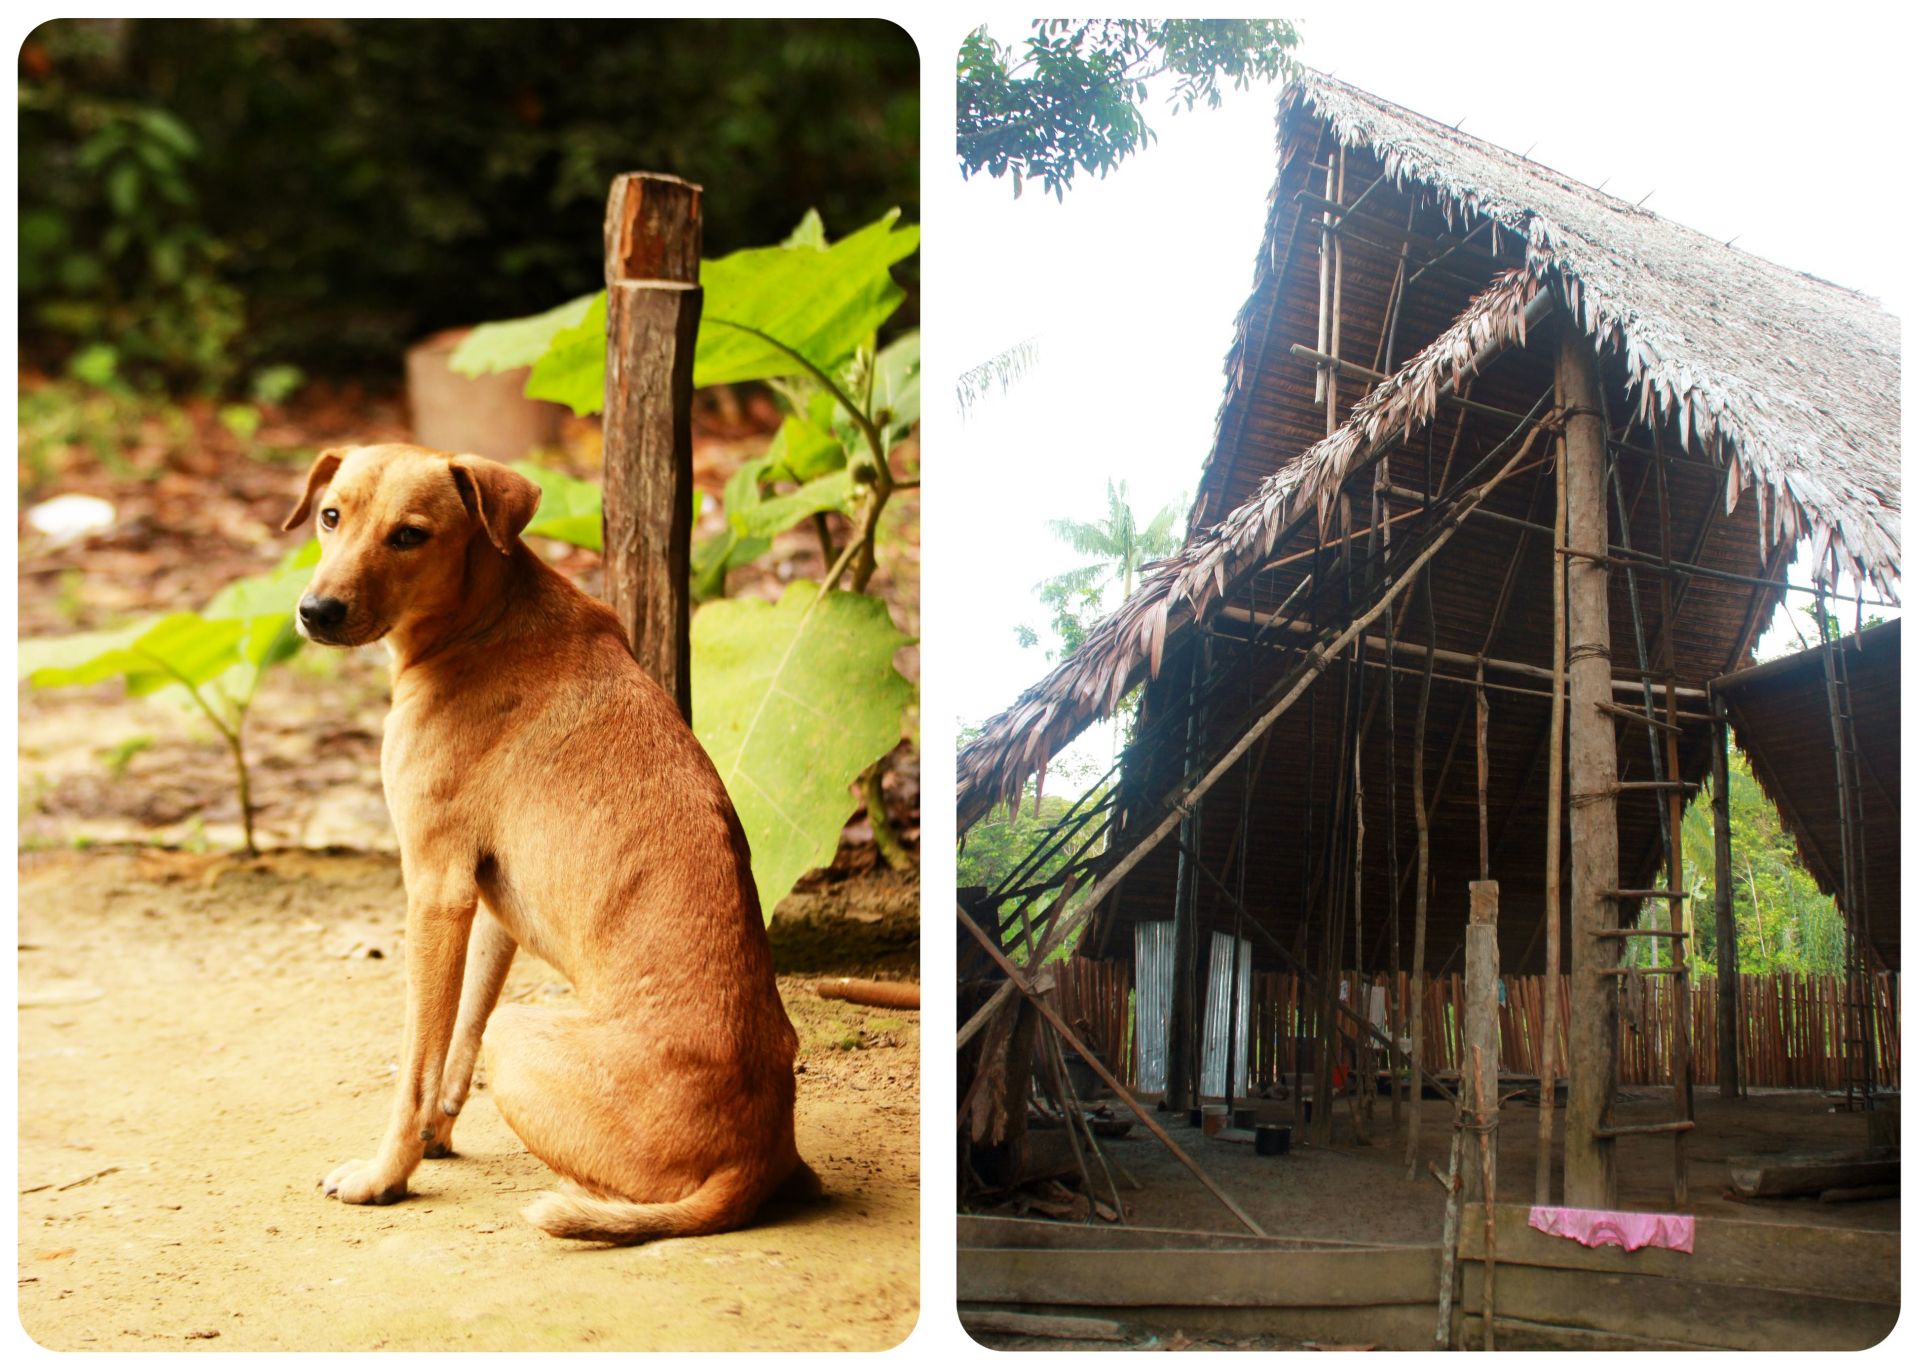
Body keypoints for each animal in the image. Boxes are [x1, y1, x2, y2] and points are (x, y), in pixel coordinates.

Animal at [284, 439, 817, 1235]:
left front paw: (387, 1175)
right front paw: (436, 1136)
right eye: (329, 517)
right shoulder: (485, 909)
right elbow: (456, 1038)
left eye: (408, 535)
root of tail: (751, 1165)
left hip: (520, 1036)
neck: (483, 619)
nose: (315, 611)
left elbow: (416, 1063)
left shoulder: (434, 892)